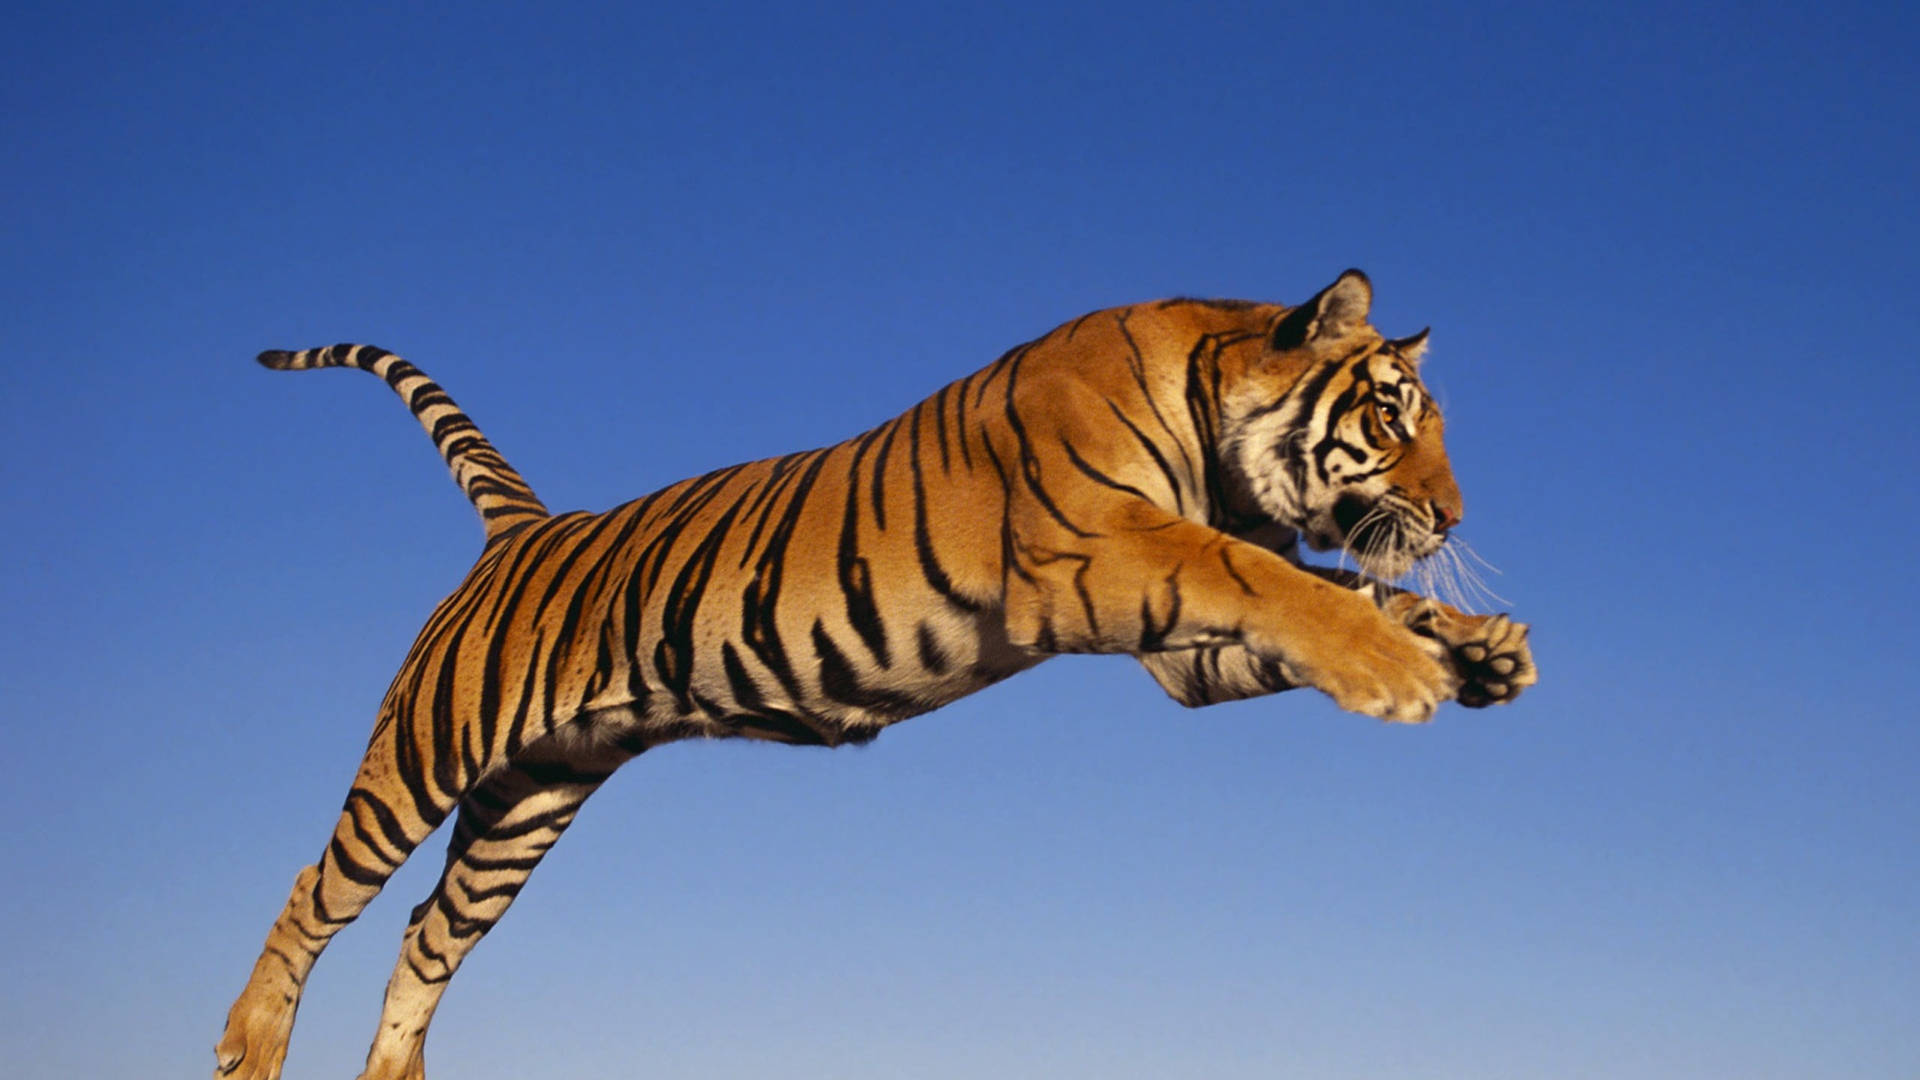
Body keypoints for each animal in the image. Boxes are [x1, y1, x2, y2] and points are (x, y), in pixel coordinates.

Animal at [216, 269, 1536, 1080]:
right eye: (1394, 415)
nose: (1456, 512)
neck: (1217, 434)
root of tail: (524, 529)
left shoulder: (1180, 653)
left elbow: (1343, 587)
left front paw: (1478, 644)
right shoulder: (1105, 556)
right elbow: (1282, 581)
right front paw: (1399, 666)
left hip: (528, 801)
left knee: (429, 935)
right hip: (428, 750)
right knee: (315, 890)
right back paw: (249, 1043)